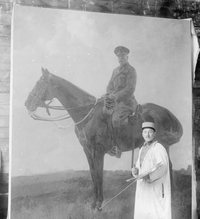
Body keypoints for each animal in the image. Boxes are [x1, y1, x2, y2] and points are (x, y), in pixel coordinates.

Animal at [24, 67, 183, 210]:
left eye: (40, 84)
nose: (27, 103)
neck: (87, 115)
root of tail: (165, 111)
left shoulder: (98, 152)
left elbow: (99, 176)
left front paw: (100, 204)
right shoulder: (88, 152)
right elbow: (93, 175)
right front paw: (94, 203)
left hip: (162, 145)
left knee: (167, 166)